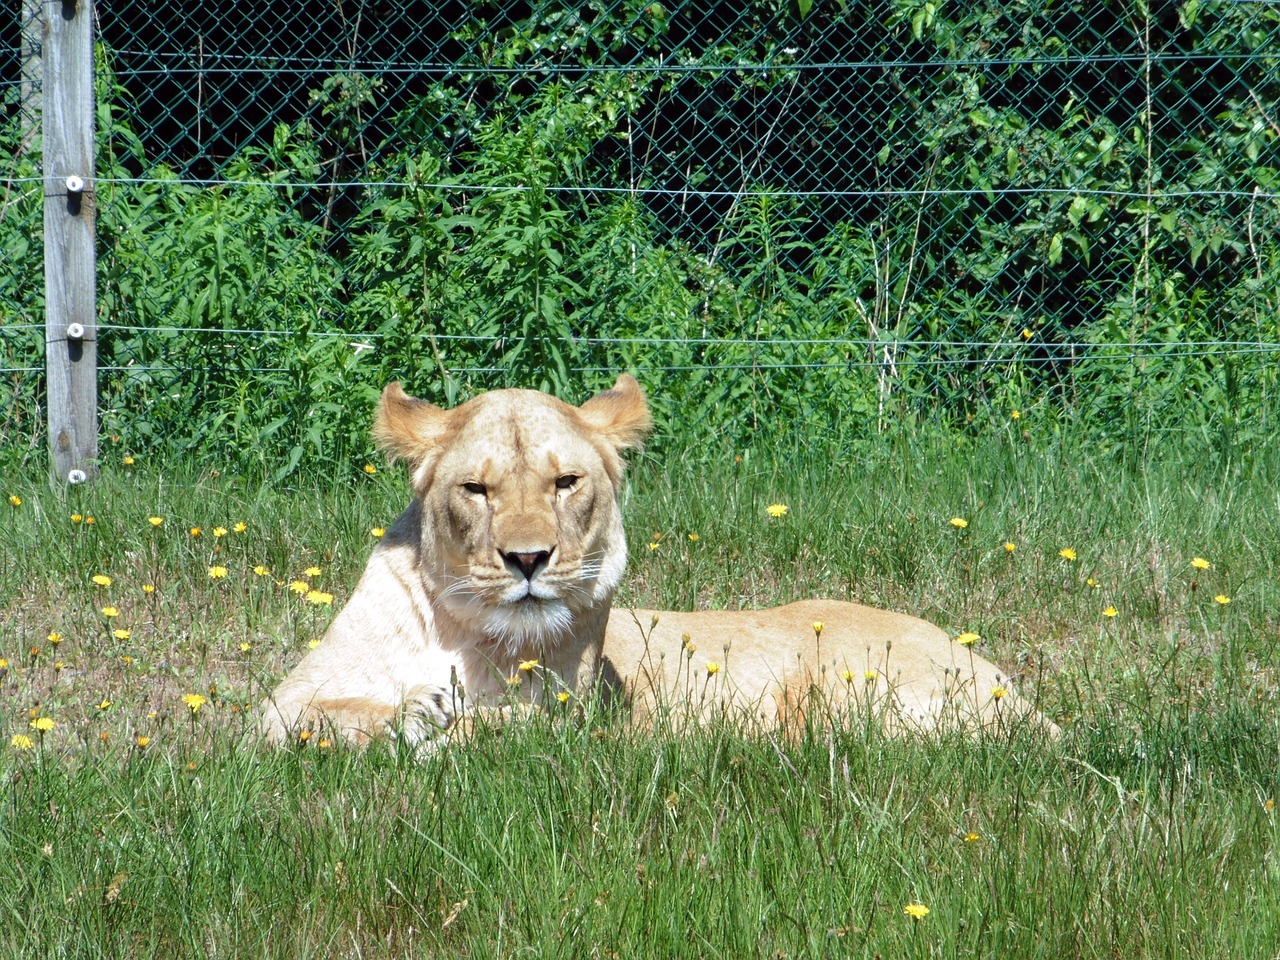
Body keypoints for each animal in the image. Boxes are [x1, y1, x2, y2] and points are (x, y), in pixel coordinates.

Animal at [257, 373, 1049, 742]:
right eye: (476, 489)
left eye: (565, 482)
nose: (527, 560)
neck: (463, 635)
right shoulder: (276, 707)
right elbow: (313, 716)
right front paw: (415, 712)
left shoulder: (570, 723)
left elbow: (505, 729)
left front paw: (442, 722)